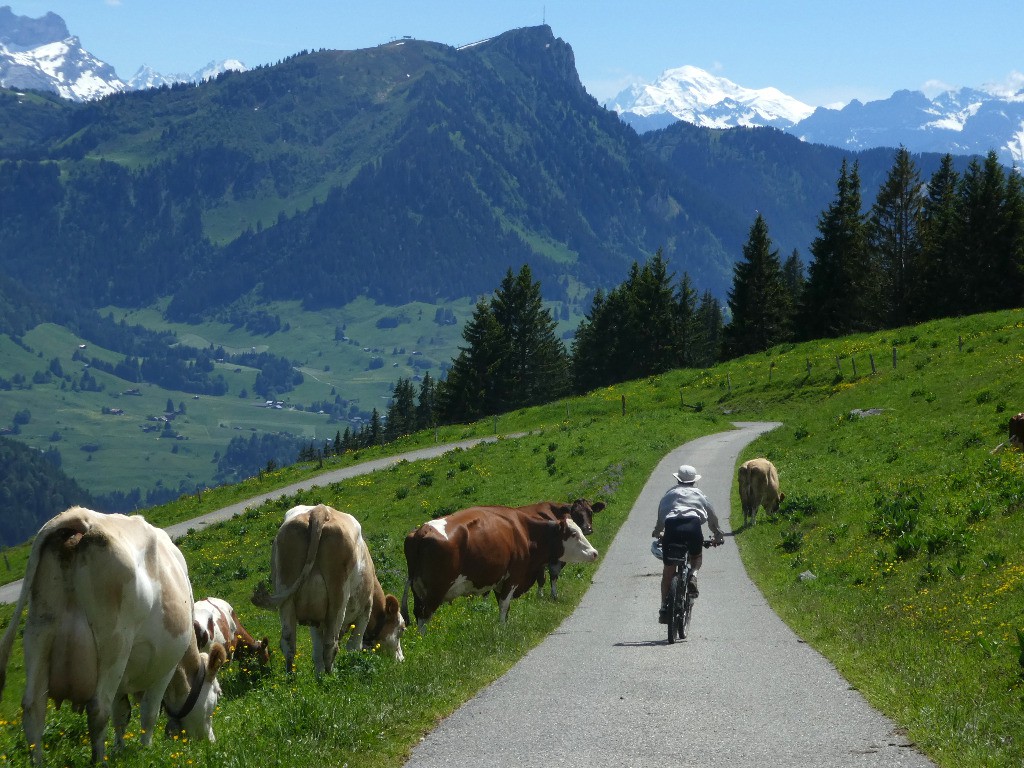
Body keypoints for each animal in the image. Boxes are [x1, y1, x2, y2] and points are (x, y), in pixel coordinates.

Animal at [0, 507, 226, 765]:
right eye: (217, 695)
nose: (210, 740)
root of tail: (82, 518)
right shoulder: (165, 668)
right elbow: (148, 713)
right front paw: (146, 749)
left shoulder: (123, 678)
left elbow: (121, 713)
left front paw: (120, 747)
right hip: (114, 643)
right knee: (98, 707)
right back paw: (100, 760)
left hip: (39, 633)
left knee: (33, 708)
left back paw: (38, 761)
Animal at [249, 505, 405, 679]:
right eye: (401, 629)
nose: (401, 659)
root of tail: (319, 510)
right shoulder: (365, 610)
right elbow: (353, 646)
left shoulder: (315, 620)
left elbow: (316, 651)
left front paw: (319, 676)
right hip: (338, 598)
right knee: (331, 644)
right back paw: (332, 677)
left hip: (285, 594)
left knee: (289, 642)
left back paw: (291, 678)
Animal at [395, 505, 598, 630]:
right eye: (574, 533)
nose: (594, 552)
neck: (525, 531)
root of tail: (420, 532)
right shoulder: (514, 576)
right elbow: (504, 604)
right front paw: (502, 630)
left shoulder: (500, 580)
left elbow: (503, 606)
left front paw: (503, 626)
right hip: (435, 590)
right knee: (423, 618)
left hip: (418, 590)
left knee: (418, 615)